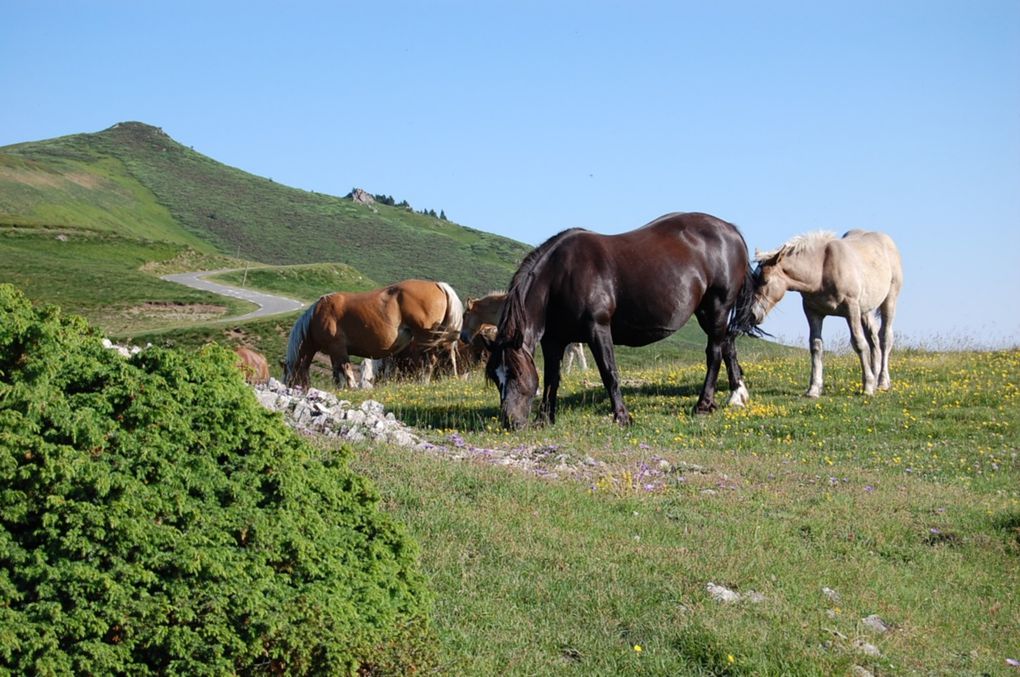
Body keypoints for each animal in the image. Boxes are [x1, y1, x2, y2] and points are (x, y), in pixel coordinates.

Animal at [285, 277, 465, 389]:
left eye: (289, 379)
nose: (292, 390)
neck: (318, 315)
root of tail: (438, 285)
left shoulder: (337, 348)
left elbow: (345, 369)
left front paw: (350, 388)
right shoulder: (334, 352)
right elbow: (337, 373)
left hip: (425, 338)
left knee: (429, 362)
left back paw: (423, 382)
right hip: (440, 339)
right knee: (449, 356)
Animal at [483, 212, 758, 428]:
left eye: (516, 374)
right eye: (496, 378)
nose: (511, 422)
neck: (560, 278)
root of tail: (730, 230)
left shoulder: (598, 329)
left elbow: (609, 372)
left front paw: (622, 417)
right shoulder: (553, 340)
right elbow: (552, 378)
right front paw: (544, 419)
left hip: (717, 307)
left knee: (714, 353)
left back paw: (703, 405)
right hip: (707, 312)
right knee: (727, 346)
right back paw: (736, 396)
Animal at [754, 230, 905, 397]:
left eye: (766, 281)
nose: (753, 314)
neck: (821, 270)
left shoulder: (851, 308)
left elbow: (859, 343)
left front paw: (867, 387)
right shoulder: (812, 312)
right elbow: (816, 346)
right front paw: (813, 389)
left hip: (889, 300)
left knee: (885, 337)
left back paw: (882, 382)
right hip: (865, 310)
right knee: (873, 338)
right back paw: (875, 374)